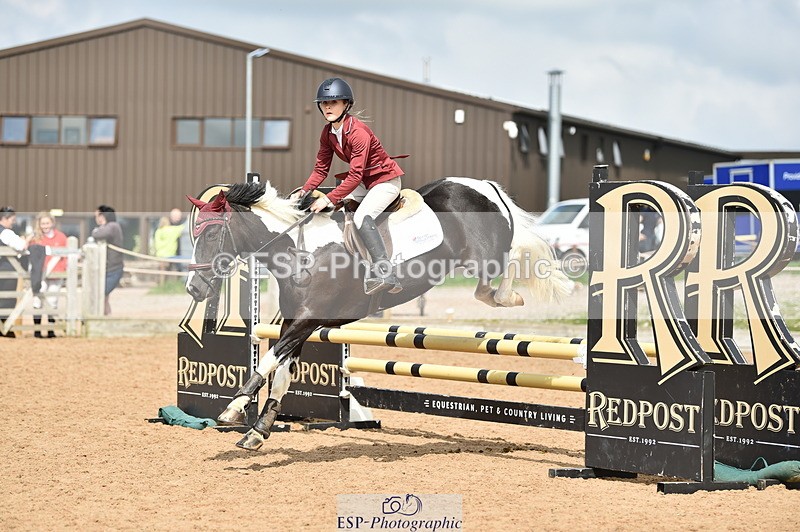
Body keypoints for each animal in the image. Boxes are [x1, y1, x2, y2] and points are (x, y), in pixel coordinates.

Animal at [186, 177, 572, 450]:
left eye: (214, 234)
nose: (194, 289)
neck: (299, 251)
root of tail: (484, 186)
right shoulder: (298, 324)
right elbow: (280, 371)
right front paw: (258, 431)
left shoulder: (309, 318)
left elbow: (269, 359)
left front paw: (233, 408)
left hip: (486, 254)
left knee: (509, 259)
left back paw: (511, 296)